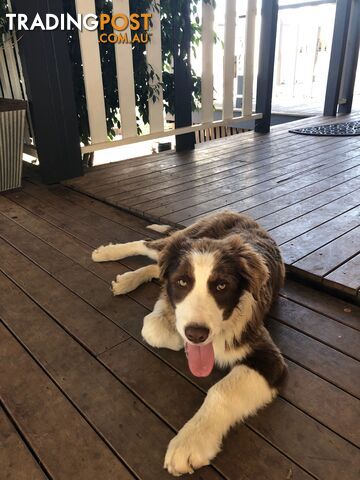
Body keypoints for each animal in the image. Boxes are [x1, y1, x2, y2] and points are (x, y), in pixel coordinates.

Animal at [92, 211, 286, 476]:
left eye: (222, 286)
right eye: (182, 282)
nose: (196, 335)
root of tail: (234, 212)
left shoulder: (268, 358)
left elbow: (220, 391)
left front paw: (191, 441)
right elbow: (153, 324)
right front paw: (171, 324)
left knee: (156, 266)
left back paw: (126, 280)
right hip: (181, 239)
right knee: (148, 246)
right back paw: (106, 255)